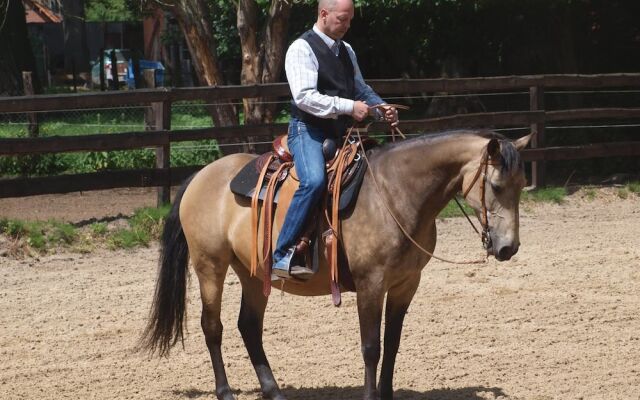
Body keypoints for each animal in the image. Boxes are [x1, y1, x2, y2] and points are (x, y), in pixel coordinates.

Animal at [142, 130, 532, 398]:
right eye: (497, 186)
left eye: (521, 185)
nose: (508, 248)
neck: (395, 193)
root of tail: (201, 176)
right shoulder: (371, 284)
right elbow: (371, 347)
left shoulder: (406, 284)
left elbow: (392, 342)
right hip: (210, 265)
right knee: (213, 326)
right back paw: (225, 392)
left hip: (253, 274)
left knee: (249, 326)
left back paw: (274, 391)